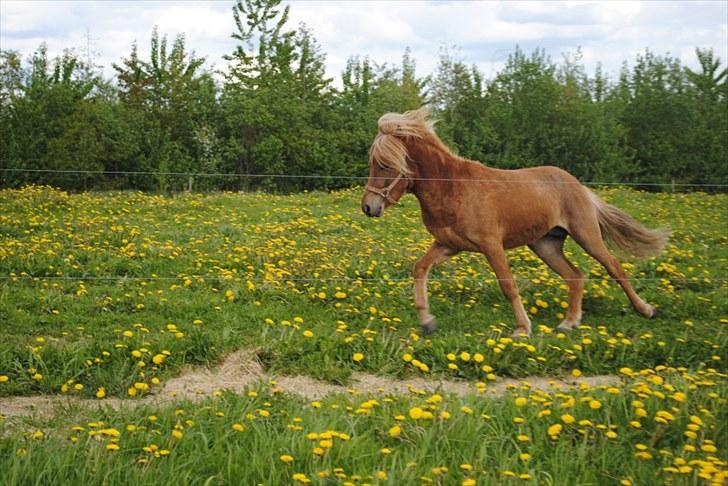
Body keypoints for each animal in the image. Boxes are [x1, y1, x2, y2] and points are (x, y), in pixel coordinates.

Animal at [362, 106, 668, 336]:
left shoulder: (491, 245)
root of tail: (578, 186)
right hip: (546, 245)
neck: (454, 188)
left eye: (385, 164)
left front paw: (522, 329)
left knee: (615, 267)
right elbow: (420, 268)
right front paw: (427, 322)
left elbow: (508, 285)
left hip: (586, 235)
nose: (368, 206)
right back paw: (568, 323)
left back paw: (646, 310)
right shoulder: (449, 245)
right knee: (575, 275)